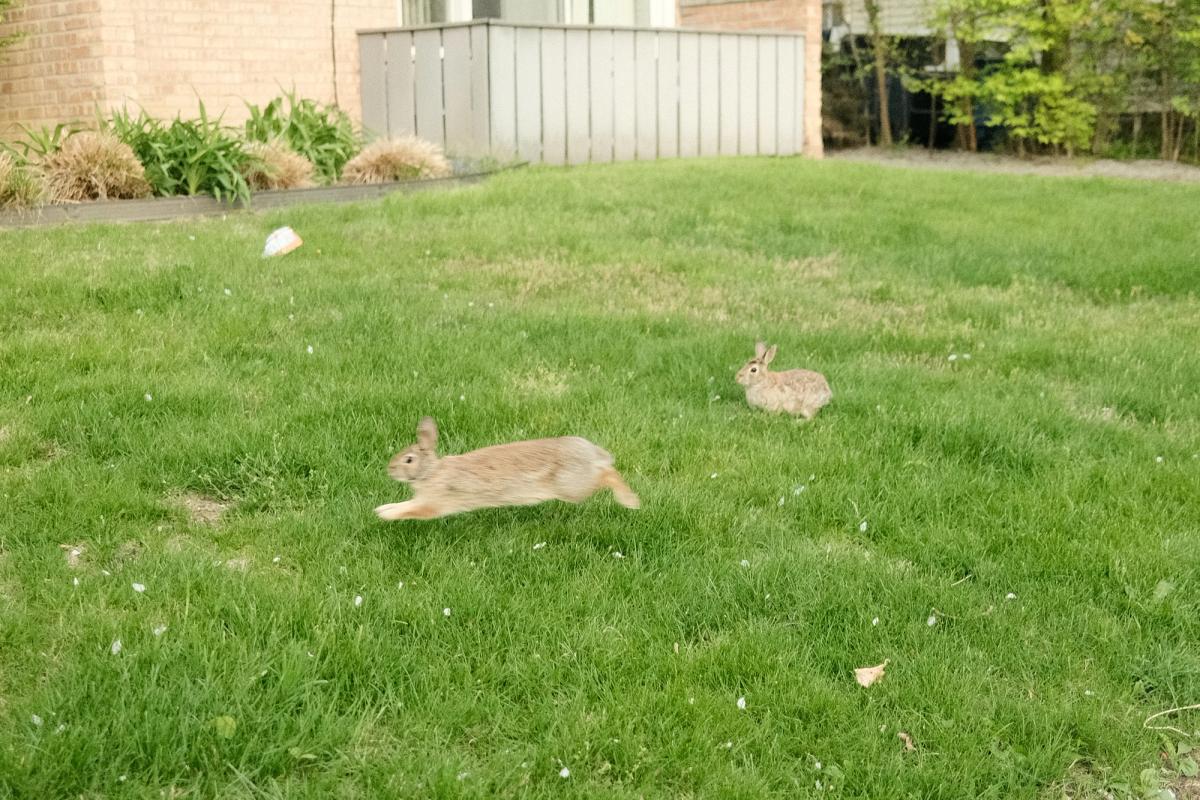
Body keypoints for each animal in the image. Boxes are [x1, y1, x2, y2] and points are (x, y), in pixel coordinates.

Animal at [375, 417, 641, 521]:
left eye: (409, 460)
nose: (390, 469)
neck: (431, 471)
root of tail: (593, 454)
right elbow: (404, 504)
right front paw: (381, 509)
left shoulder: (432, 503)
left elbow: (410, 510)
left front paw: (386, 516)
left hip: (573, 486)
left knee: (608, 474)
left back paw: (630, 502)